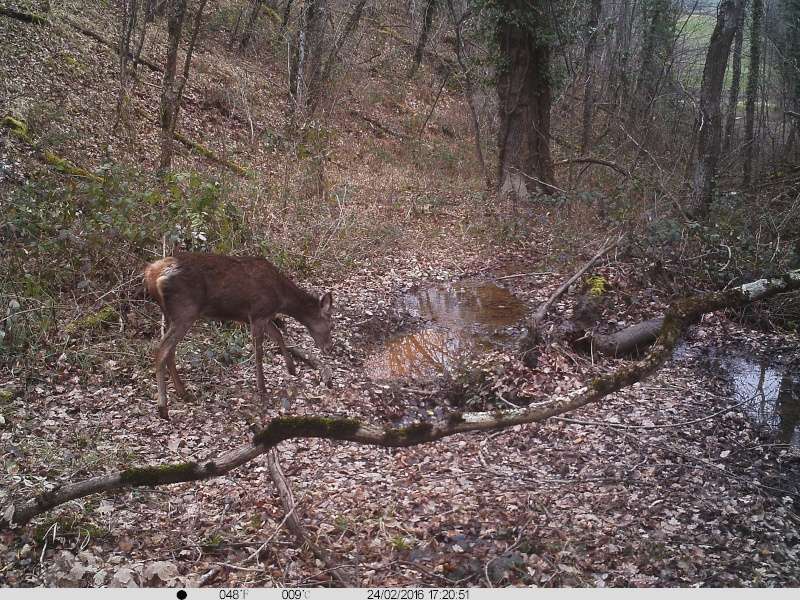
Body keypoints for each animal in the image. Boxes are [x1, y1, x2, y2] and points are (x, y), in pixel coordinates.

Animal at [142, 251, 332, 420]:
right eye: (330, 324)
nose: (329, 348)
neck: (281, 298)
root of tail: (152, 274)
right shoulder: (258, 313)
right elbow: (259, 352)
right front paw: (262, 388)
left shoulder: (261, 316)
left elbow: (278, 335)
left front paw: (291, 368)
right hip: (185, 311)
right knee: (162, 351)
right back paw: (163, 407)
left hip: (171, 314)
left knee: (170, 351)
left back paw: (183, 392)